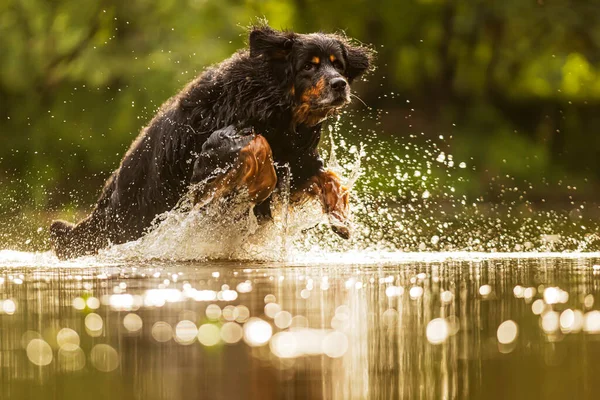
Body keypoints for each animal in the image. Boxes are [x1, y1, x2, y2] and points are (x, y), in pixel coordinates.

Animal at [49, 24, 372, 260]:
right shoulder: (210, 153)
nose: (340, 85)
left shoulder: (297, 158)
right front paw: (259, 186)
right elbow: (257, 145)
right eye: (308, 66)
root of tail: (99, 212)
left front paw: (340, 217)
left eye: (339, 66)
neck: (269, 103)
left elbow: (329, 176)